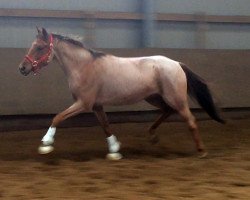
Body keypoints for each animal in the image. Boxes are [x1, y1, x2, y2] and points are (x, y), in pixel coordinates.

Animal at [18, 27, 225, 159]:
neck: (83, 66)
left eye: (39, 47)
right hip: (154, 97)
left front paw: (46, 144)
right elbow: (106, 126)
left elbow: (58, 117)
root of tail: (177, 63)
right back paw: (152, 136)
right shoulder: (96, 105)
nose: (22, 68)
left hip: (176, 99)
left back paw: (201, 151)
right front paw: (115, 151)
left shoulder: (84, 104)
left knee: (190, 120)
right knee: (167, 111)